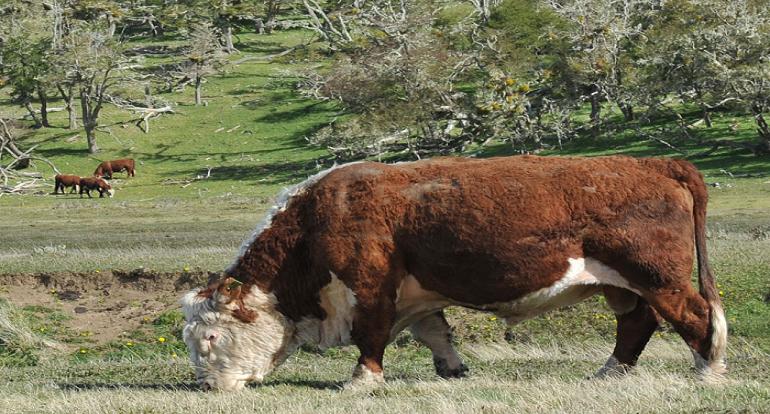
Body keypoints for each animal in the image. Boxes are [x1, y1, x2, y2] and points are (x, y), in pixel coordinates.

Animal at [182, 155, 728, 392]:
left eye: (211, 337)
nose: (206, 386)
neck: (319, 218)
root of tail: (653, 161)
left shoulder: (370, 289)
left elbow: (370, 336)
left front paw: (361, 382)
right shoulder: (415, 294)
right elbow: (434, 332)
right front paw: (452, 369)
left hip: (659, 278)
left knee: (695, 317)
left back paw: (707, 372)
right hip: (625, 285)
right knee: (637, 323)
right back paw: (610, 371)